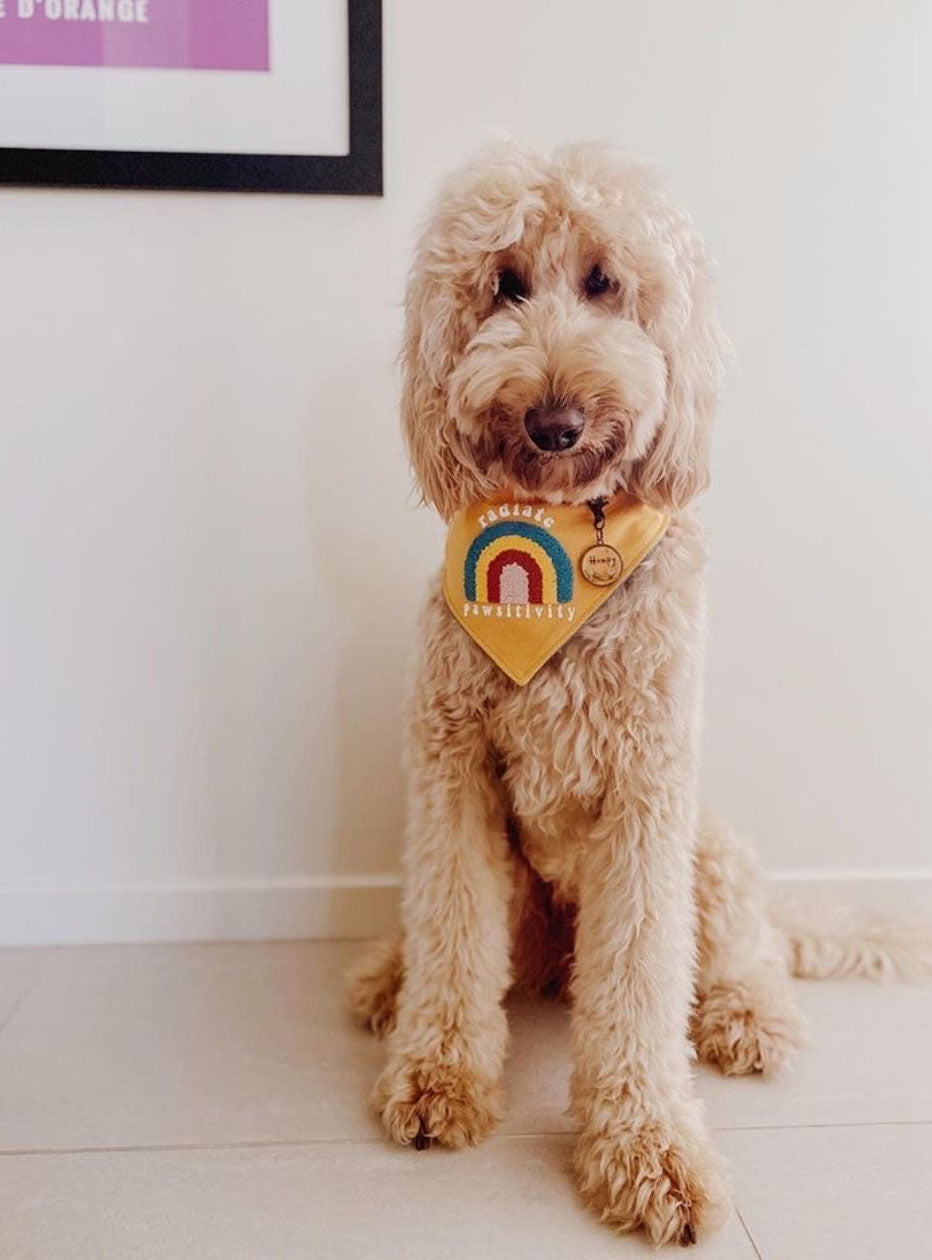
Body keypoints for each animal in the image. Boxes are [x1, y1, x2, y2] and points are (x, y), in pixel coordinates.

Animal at [350, 143, 932, 1244]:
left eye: (603, 283)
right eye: (505, 283)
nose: (554, 417)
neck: (568, 545)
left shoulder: (644, 796)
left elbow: (640, 979)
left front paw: (647, 1150)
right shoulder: (454, 775)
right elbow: (451, 929)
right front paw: (437, 1076)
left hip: (709, 844)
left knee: (747, 947)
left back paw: (750, 1017)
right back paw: (390, 976)